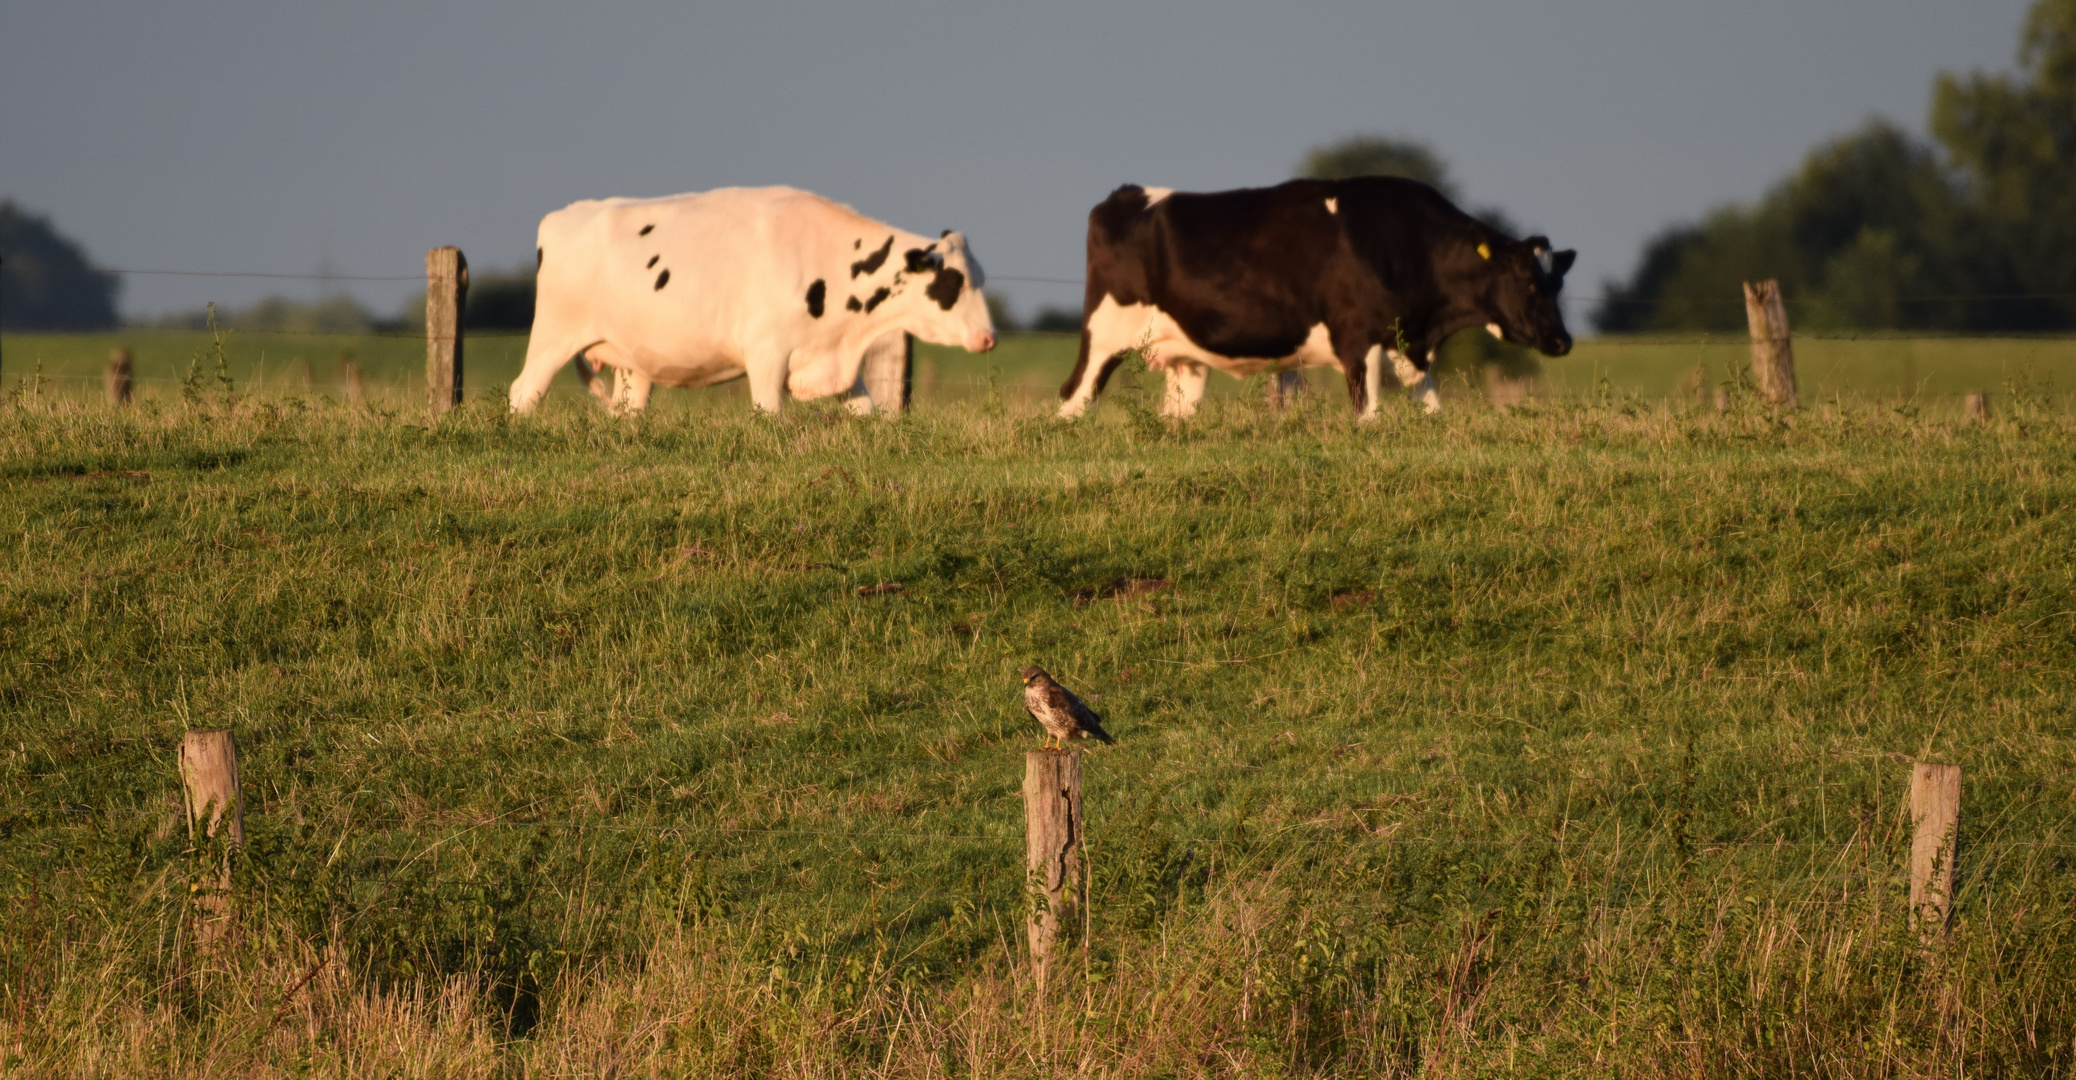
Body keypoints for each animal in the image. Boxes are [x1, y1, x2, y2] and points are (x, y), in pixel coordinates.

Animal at [506, 185, 992, 413]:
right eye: (953, 283)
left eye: (979, 278)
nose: (989, 337)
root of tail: (562, 216)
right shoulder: (766, 353)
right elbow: (769, 414)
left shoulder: (830, 359)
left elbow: (866, 411)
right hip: (553, 336)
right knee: (523, 394)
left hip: (632, 363)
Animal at [1062, 177, 1577, 417]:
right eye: (1529, 282)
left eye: (1558, 284)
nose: (1562, 340)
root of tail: (1125, 195)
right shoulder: (1357, 342)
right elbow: (1370, 417)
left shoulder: (1407, 346)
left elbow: (1433, 413)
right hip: (1104, 337)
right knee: (1072, 399)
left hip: (1183, 360)